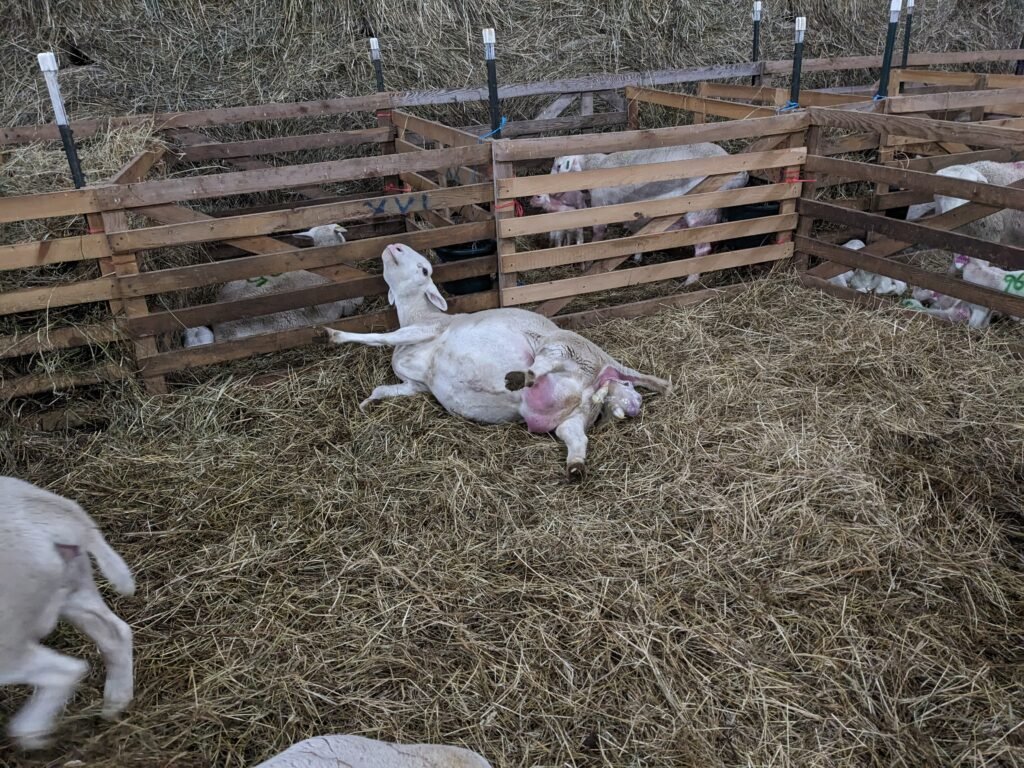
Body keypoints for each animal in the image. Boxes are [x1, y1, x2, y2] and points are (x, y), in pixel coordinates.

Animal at [0, 475, 134, 753]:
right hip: (74, 586)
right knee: (115, 634)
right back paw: (115, 704)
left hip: (7, 633)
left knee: (65, 671)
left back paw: (32, 734)